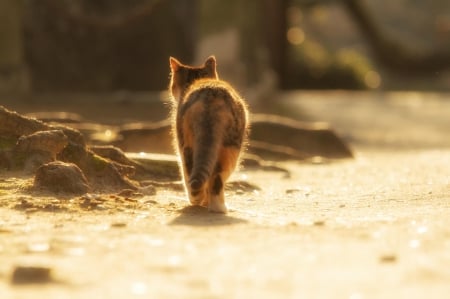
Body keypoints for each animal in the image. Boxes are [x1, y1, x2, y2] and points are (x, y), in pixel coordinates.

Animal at [168, 54, 248, 213]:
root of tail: (210, 95)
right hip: (229, 147)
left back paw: (200, 201)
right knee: (216, 178)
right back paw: (217, 207)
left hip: (187, 144)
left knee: (193, 174)